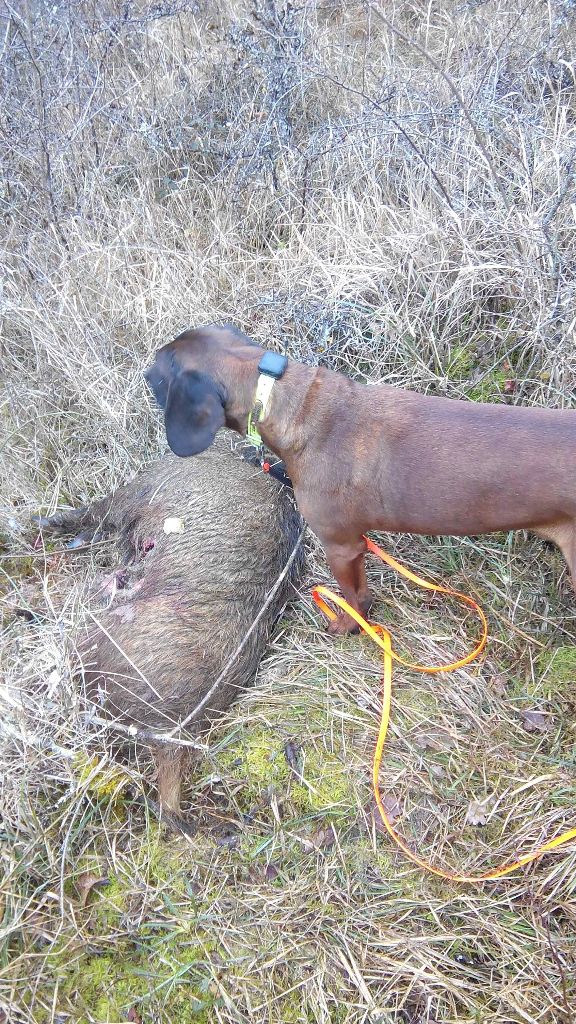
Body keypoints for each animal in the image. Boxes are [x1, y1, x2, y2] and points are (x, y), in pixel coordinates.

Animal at [145, 327, 573, 630]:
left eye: (158, 374)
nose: (144, 371)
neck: (287, 400)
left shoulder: (342, 546)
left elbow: (355, 598)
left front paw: (350, 625)